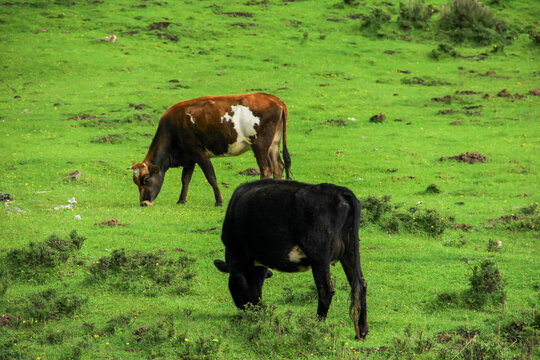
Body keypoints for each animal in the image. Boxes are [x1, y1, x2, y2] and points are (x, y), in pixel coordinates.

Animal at [130, 91, 292, 207]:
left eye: (146, 180)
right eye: (136, 182)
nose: (143, 203)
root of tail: (274, 99)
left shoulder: (199, 153)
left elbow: (211, 176)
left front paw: (219, 201)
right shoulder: (189, 158)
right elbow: (185, 179)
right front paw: (181, 200)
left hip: (260, 145)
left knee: (266, 169)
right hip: (273, 144)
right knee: (278, 167)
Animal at [213, 179, 370, 340]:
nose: (246, 312)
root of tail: (341, 191)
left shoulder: (245, 259)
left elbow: (253, 289)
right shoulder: (259, 264)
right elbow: (256, 288)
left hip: (319, 256)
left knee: (326, 291)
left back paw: (315, 327)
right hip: (350, 251)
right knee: (360, 285)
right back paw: (362, 331)